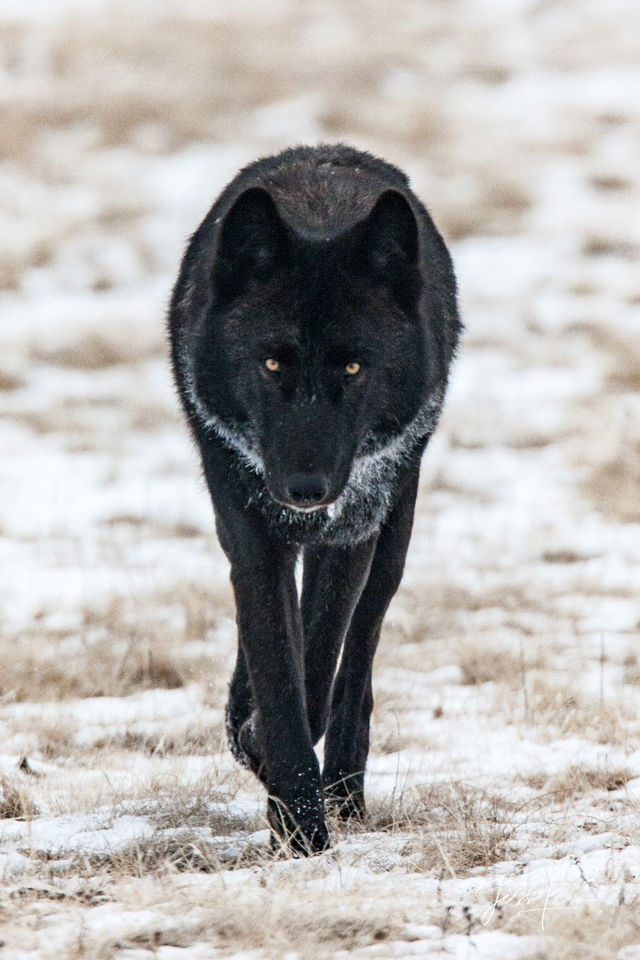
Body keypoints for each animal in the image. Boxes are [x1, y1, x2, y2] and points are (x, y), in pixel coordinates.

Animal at [169, 144, 460, 856]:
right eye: (272, 363)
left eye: (353, 368)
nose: (306, 489)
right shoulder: (251, 533)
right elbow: (278, 664)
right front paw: (297, 826)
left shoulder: (350, 532)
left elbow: (319, 668)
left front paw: (299, 817)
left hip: (391, 544)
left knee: (357, 664)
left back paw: (346, 794)